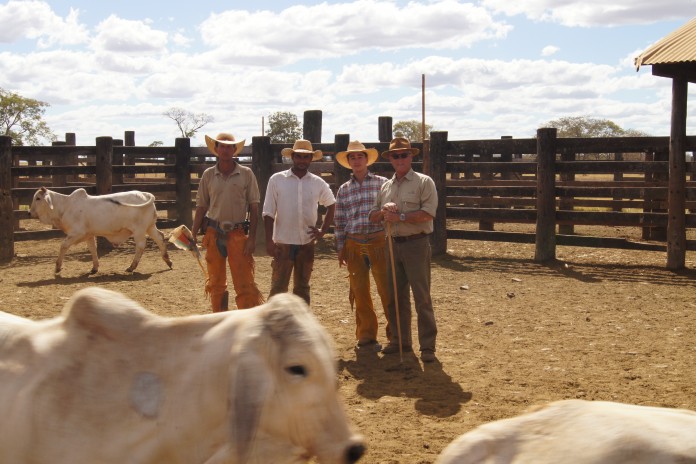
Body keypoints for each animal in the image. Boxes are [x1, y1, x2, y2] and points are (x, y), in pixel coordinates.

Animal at [30, 185, 174, 272]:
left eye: (38, 198)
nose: (29, 212)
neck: (65, 206)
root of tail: (144, 194)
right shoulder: (89, 235)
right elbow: (93, 249)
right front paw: (94, 268)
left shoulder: (77, 233)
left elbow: (63, 245)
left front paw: (58, 267)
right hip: (150, 227)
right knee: (160, 237)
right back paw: (168, 261)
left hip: (139, 230)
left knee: (141, 245)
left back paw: (132, 266)